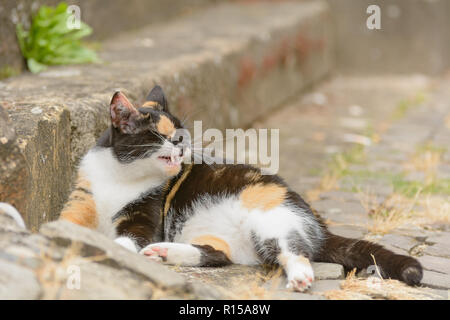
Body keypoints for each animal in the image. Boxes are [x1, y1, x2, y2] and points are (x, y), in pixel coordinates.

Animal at [59, 85, 422, 292]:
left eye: (182, 134)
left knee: (293, 250)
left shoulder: (146, 216)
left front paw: (112, 247)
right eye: (164, 135)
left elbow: (129, 237)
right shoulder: (81, 198)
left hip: (272, 220)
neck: (120, 176)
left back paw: (300, 277)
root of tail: (317, 222)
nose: (183, 145)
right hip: (212, 233)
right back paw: (163, 252)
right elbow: (66, 224)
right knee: (216, 254)